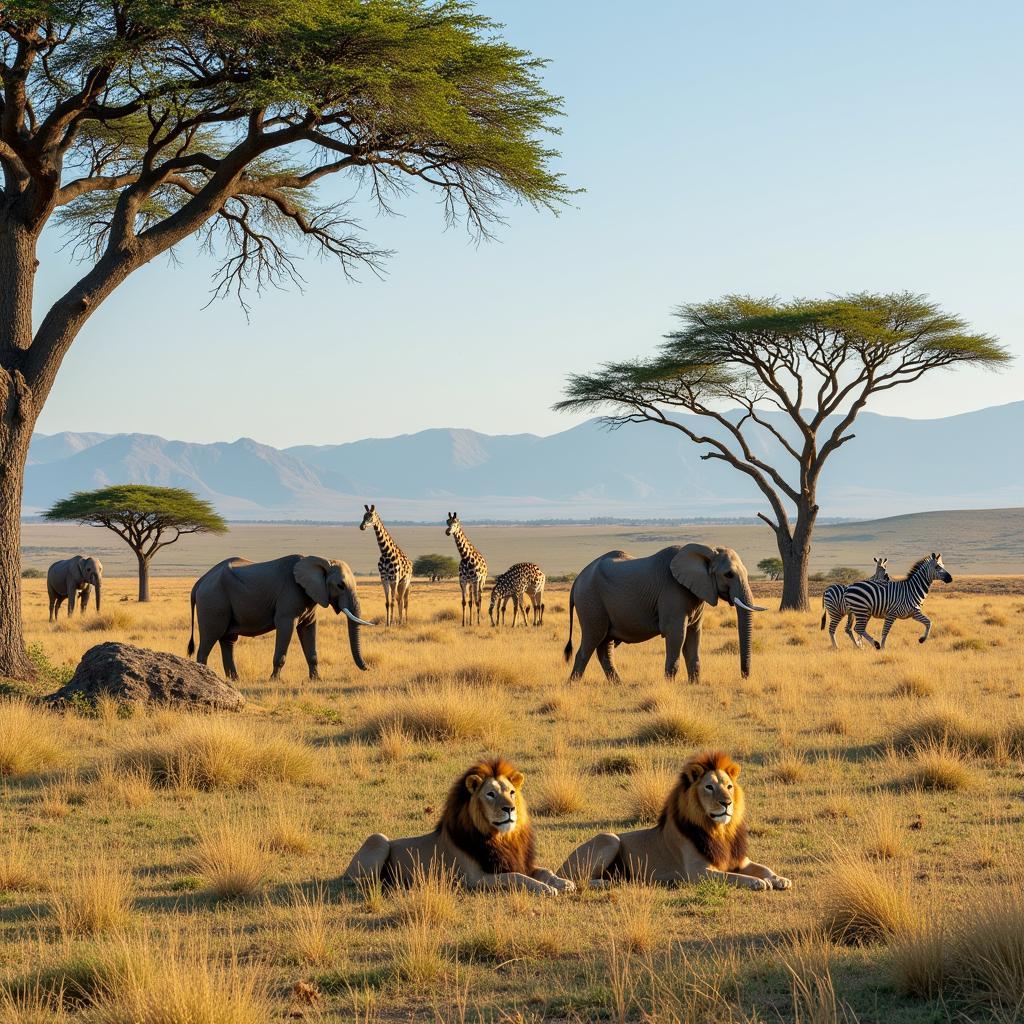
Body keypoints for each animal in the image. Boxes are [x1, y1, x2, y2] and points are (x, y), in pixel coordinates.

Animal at [186, 552, 374, 679]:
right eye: (340, 585)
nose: (369, 669)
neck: (321, 561)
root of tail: (199, 582)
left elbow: (308, 630)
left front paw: (316, 680)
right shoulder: (289, 598)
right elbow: (286, 627)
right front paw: (274, 680)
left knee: (228, 641)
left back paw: (234, 680)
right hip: (213, 601)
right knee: (208, 641)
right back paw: (205, 676)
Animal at [344, 757, 577, 892]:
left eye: (511, 792)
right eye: (490, 794)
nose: (510, 809)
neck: (500, 838)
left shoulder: (517, 862)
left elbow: (544, 870)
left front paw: (563, 882)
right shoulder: (475, 879)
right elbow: (516, 878)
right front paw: (545, 888)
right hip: (378, 839)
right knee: (363, 880)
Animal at [561, 749, 790, 892]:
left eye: (729, 786)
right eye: (709, 787)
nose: (726, 803)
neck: (720, 832)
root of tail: (562, 864)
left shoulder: (741, 861)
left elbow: (764, 868)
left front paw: (780, 879)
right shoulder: (698, 873)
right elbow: (734, 877)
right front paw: (757, 882)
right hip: (609, 838)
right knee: (578, 879)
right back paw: (605, 883)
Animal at [565, 540, 765, 684]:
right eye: (728, 574)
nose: (744, 676)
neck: (708, 550)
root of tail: (577, 580)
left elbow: (694, 634)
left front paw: (694, 684)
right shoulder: (673, 593)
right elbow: (677, 634)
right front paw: (669, 684)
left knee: (604, 646)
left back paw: (618, 684)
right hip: (590, 602)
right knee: (590, 642)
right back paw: (574, 685)